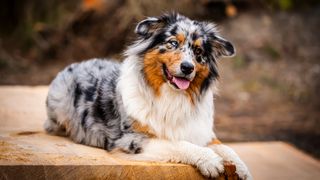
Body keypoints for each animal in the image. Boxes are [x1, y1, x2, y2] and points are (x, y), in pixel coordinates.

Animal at [43, 12, 251, 179]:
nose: (187, 67)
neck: (172, 97)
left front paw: (243, 169)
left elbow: (225, 147)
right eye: (173, 43)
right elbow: (178, 143)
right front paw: (209, 159)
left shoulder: (201, 132)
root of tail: (75, 64)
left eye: (199, 51)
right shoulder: (131, 140)